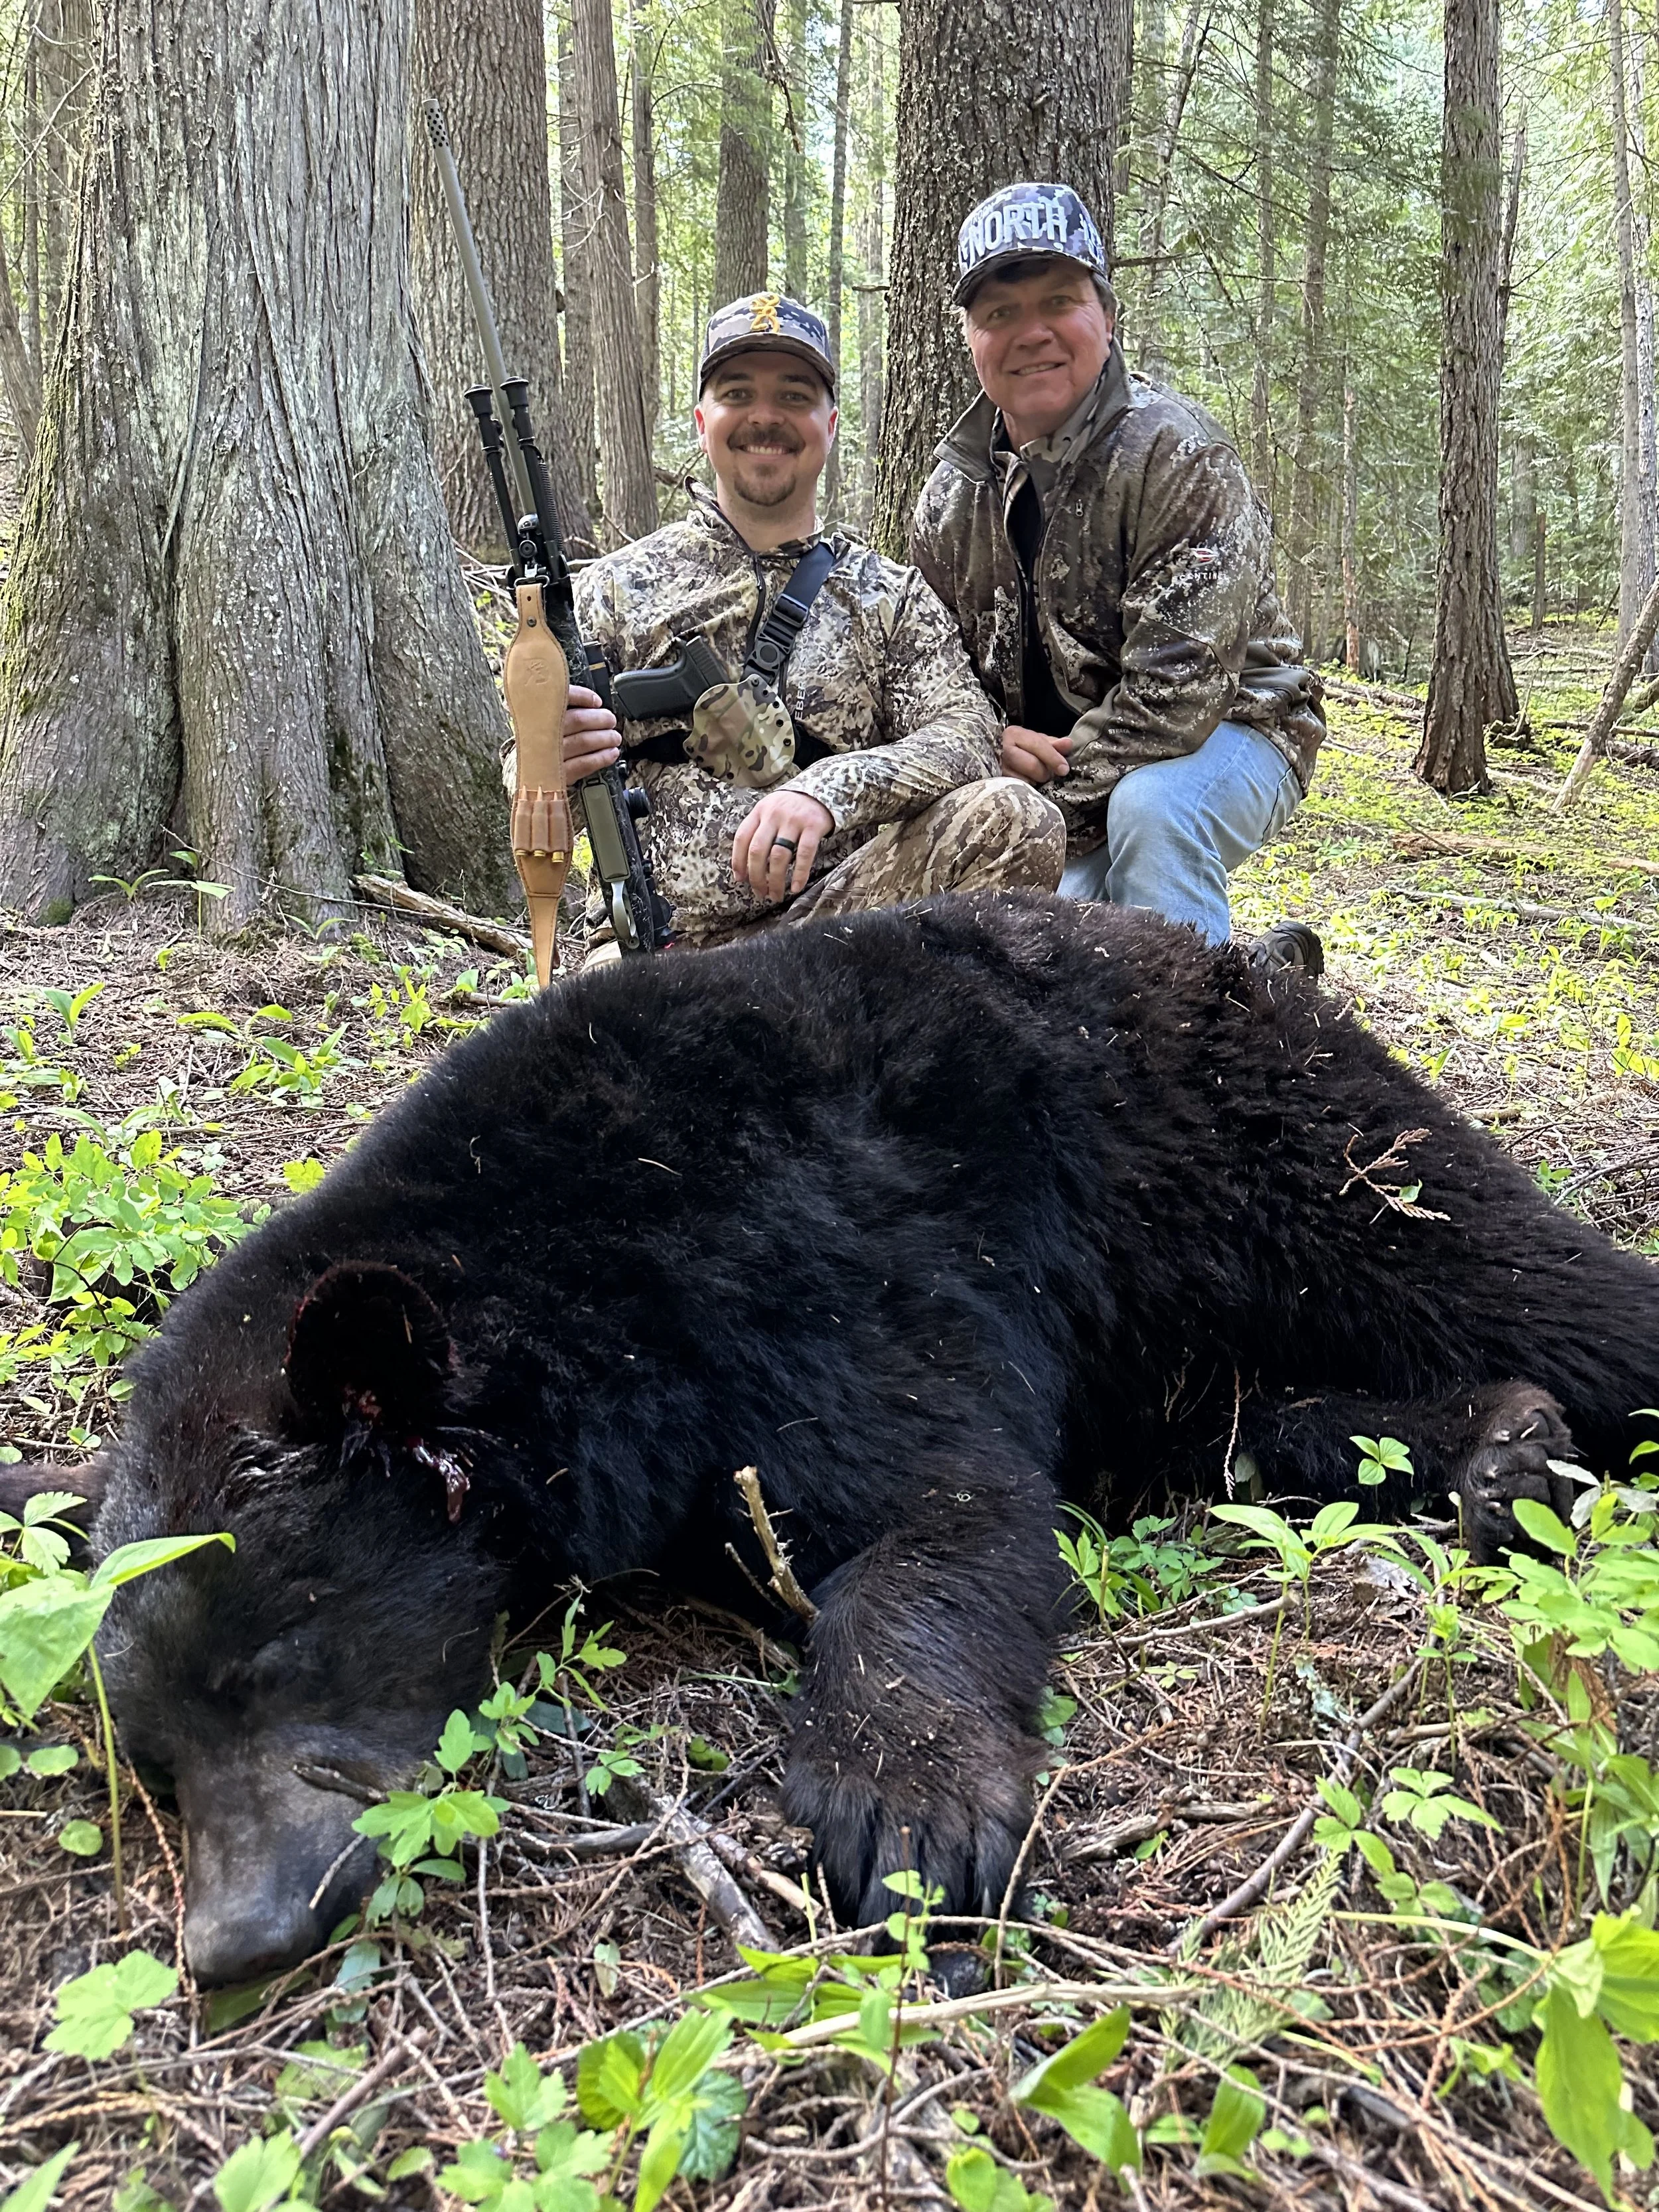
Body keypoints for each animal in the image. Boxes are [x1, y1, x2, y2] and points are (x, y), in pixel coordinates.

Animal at [82, 891, 1659, 1987]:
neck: (558, 1279)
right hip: (1163, 1322)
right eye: (152, 1751)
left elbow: (942, 1507)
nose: (228, 1939)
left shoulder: (795, 1274)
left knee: (1508, 1270)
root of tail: (1246, 952)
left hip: (1259, 1141)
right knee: (1251, 1416)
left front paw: (904, 1808)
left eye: (274, 1665)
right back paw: (1501, 1450)